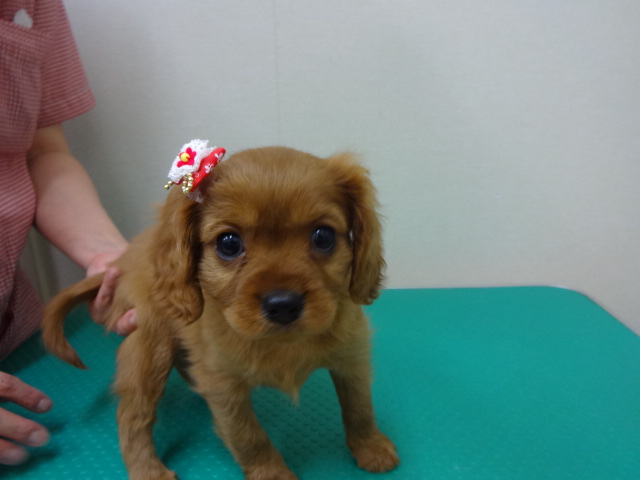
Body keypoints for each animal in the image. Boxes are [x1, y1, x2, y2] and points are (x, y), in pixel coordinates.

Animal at [42, 146, 399, 480]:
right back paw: (147, 469)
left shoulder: (352, 356)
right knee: (133, 415)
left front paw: (371, 447)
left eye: (323, 237)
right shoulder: (223, 384)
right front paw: (271, 472)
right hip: (150, 348)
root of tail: (128, 257)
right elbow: (247, 435)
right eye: (229, 243)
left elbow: (359, 408)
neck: (283, 343)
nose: (283, 304)